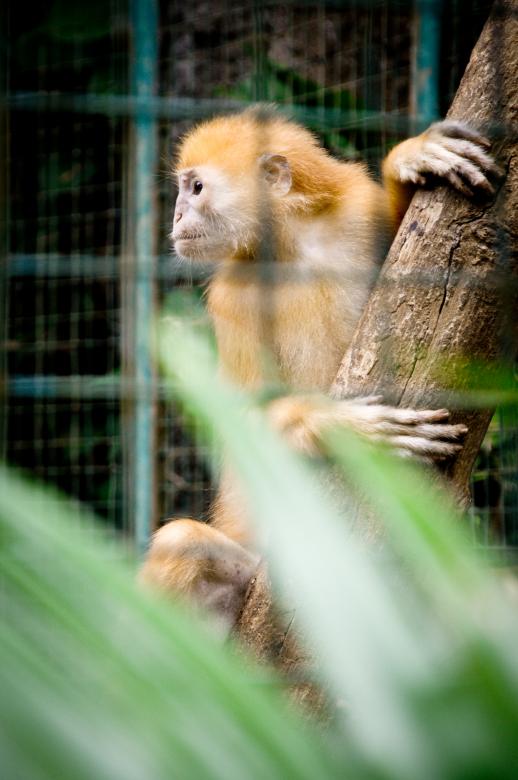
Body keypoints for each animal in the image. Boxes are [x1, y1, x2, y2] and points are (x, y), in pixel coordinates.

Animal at [140, 107, 498, 632]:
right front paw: (336, 426)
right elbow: (240, 421)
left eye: (196, 188)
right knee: (180, 542)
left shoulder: (355, 214)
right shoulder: (232, 293)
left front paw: (407, 162)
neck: (293, 249)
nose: (177, 217)